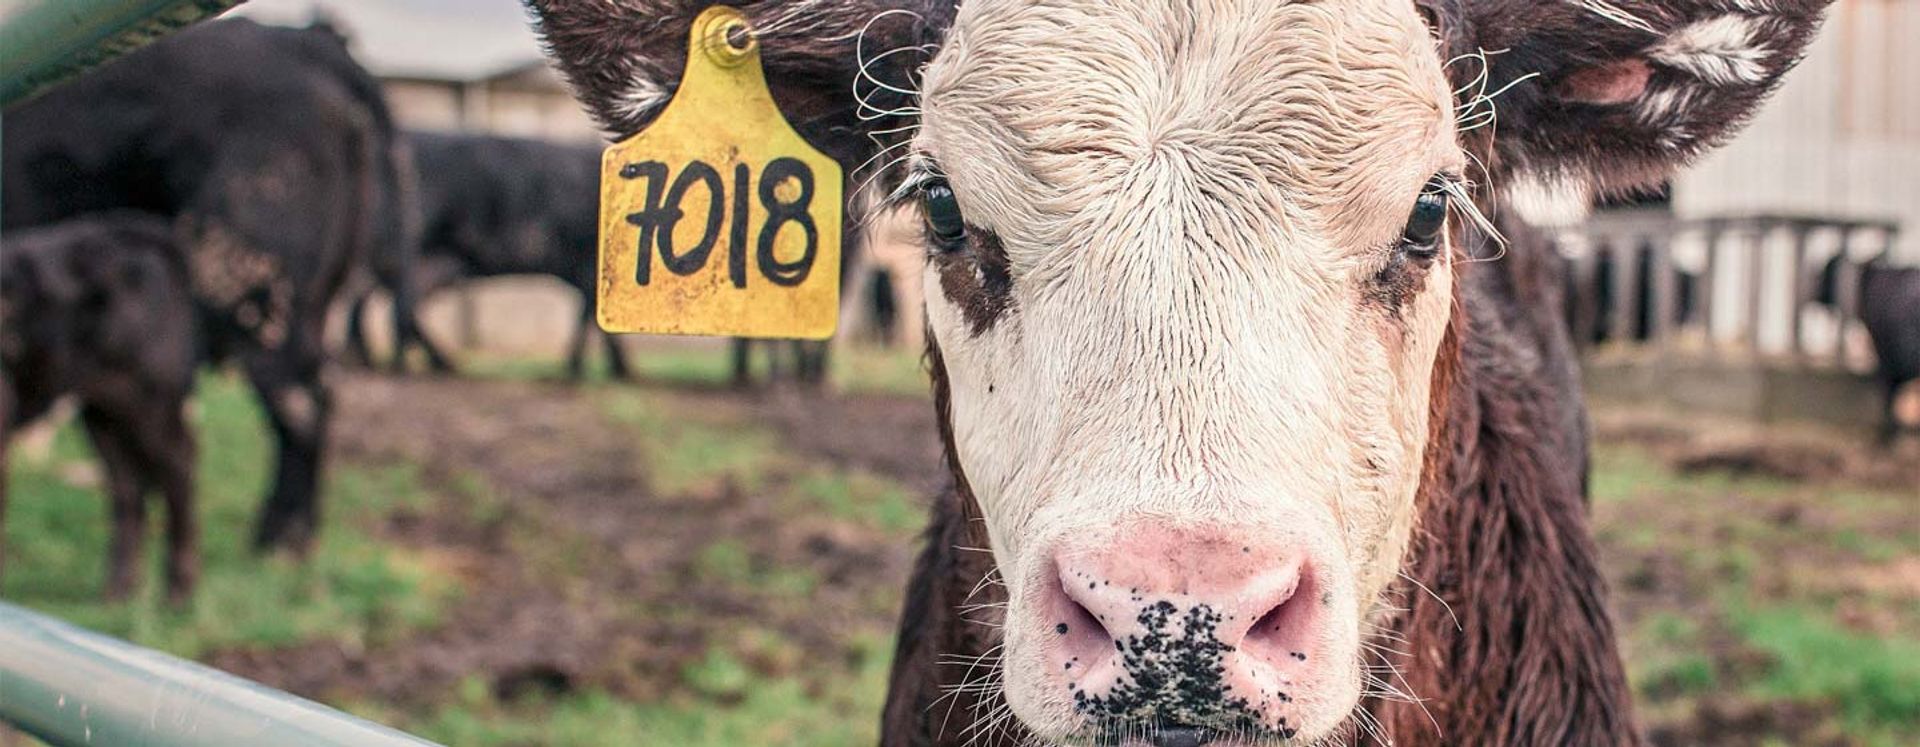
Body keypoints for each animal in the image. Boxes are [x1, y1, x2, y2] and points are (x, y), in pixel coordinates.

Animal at [0, 212, 197, 602]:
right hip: (103, 411)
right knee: (127, 485)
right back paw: (119, 591)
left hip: (149, 400)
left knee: (178, 466)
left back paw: (177, 592)